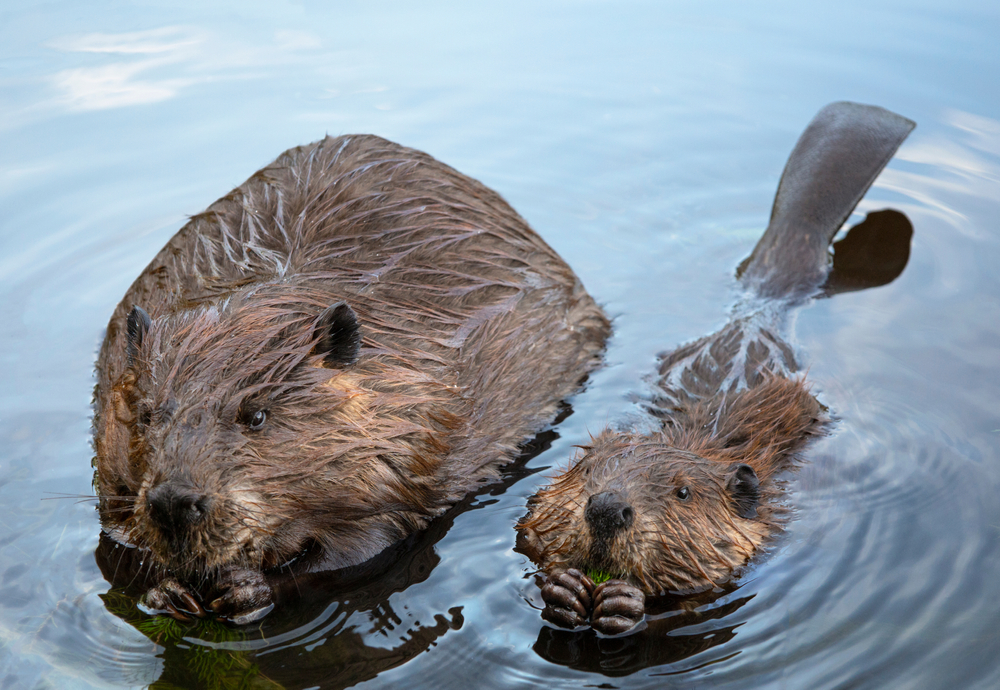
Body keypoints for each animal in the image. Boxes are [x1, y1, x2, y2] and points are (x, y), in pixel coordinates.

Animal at [94, 134, 608, 624]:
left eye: (256, 416)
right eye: (147, 415)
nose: (174, 501)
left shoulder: (416, 441)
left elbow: (365, 547)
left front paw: (246, 590)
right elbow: (116, 535)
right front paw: (165, 591)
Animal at [516, 102, 916, 636]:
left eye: (683, 492)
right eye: (586, 471)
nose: (606, 508)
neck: (696, 441)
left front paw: (622, 602)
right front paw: (564, 589)